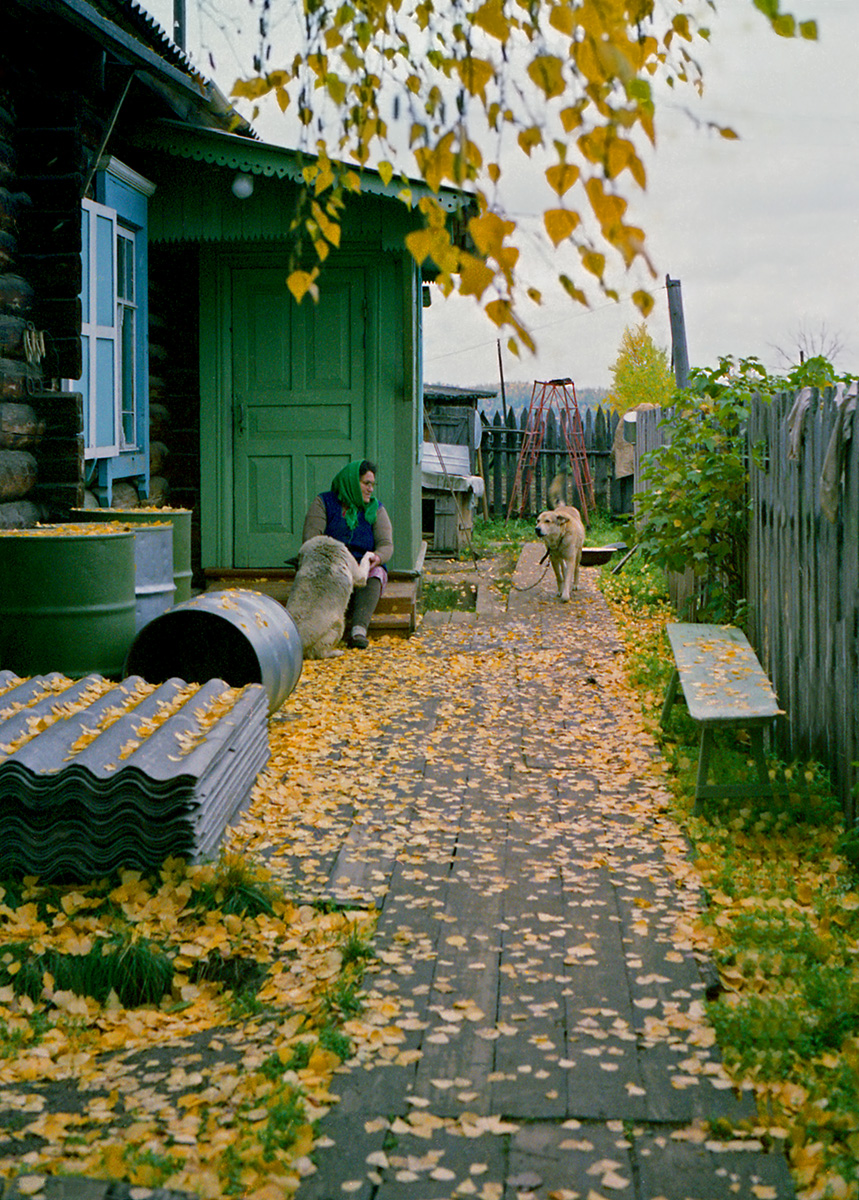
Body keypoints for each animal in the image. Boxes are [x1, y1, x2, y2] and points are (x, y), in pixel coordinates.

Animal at [532, 472, 587, 600]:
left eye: (547, 521)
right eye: (538, 521)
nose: (537, 529)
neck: (559, 539)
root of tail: (565, 506)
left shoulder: (571, 558)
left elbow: (568, 577)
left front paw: (565, 595)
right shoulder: (554, 559)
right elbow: (559, 576)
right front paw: (560, 591)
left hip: (578, 553)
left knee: (576, 568)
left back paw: (575, 584)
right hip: (561, 558)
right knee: (563, 569)